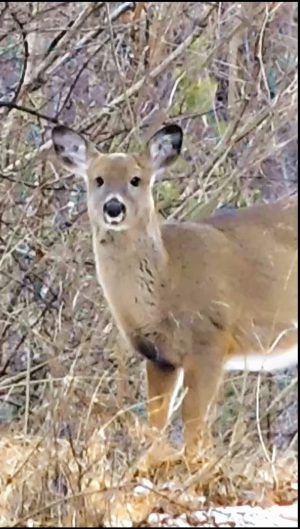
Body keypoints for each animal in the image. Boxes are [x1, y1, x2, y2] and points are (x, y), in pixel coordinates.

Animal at [51, 124, 298, 462]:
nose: (113, 207)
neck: (166, 283)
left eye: (136, 179)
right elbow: (156, 422)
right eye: (97, 179)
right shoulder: (159, 357)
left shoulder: (211, 340)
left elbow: (193, 422)